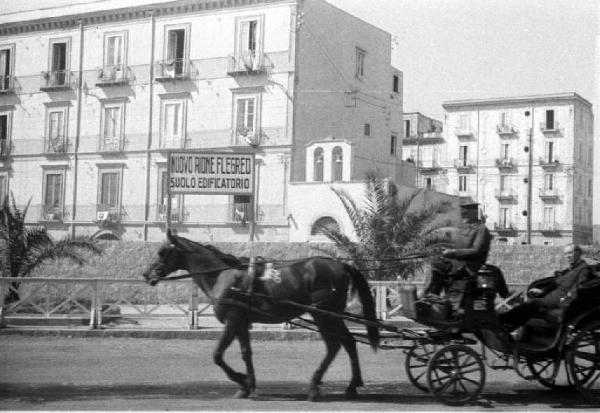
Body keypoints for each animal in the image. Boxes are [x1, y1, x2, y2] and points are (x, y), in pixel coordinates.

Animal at [142, 229, 380, 400]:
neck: (222, 275)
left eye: (162, 251)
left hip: (324, 315)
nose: (146, 274)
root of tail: (340, 265)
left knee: (334, 346)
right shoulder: (242, 322)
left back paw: (315, 386)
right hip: (331, 315)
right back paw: (352, 385)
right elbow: (246, 352)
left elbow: (217, 355)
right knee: (348, 342)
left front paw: (241, 379)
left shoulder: (233, 320)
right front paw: (248, 384)